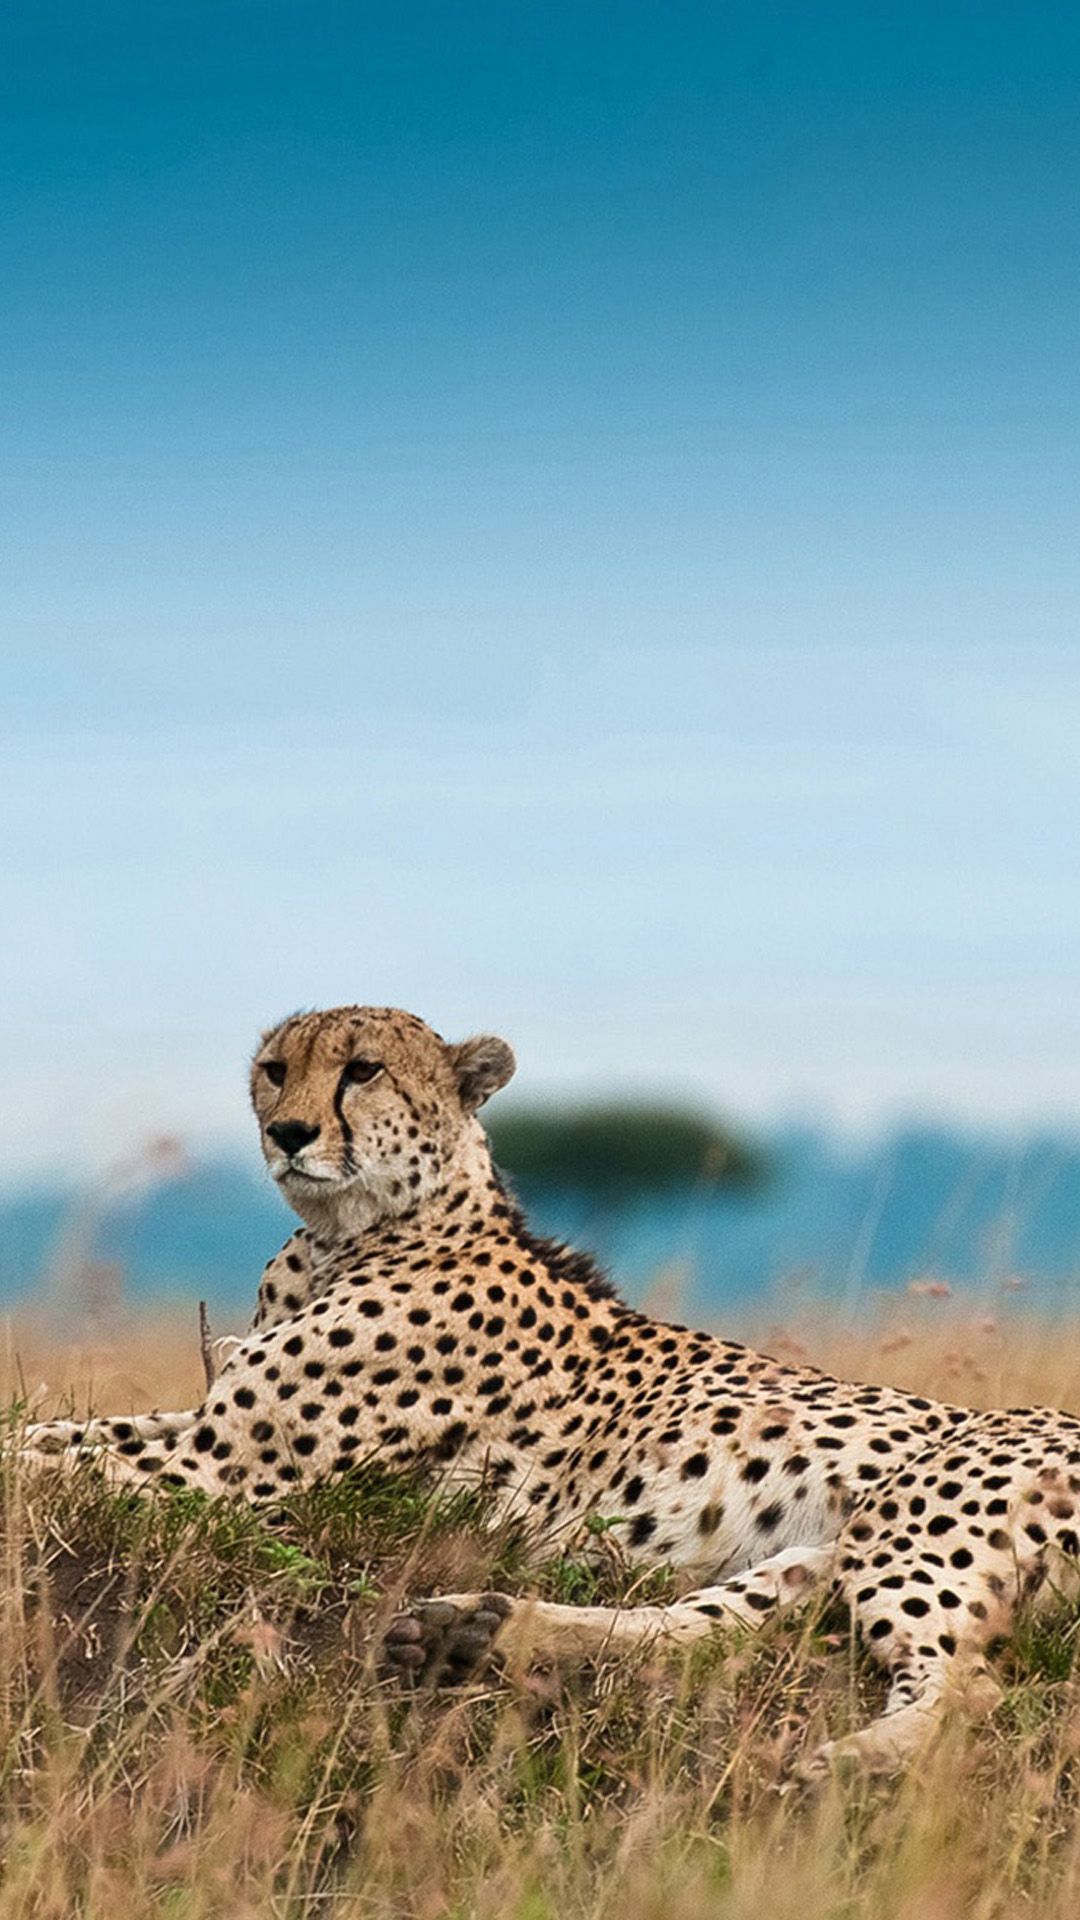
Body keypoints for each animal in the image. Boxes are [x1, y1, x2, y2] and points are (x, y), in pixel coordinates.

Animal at [21, 1003, 1080, 1779]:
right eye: (277, 1069)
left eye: (362, 1070)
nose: (287, 1131)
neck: (345, 1235)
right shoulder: (200, 1426)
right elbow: (49, 1432)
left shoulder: (221, 1468)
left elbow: (43, 1459)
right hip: (834, 1549)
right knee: (714, 1630)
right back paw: (481, 1631)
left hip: (913, 1520)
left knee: (968, 1686)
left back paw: (846, 1765)